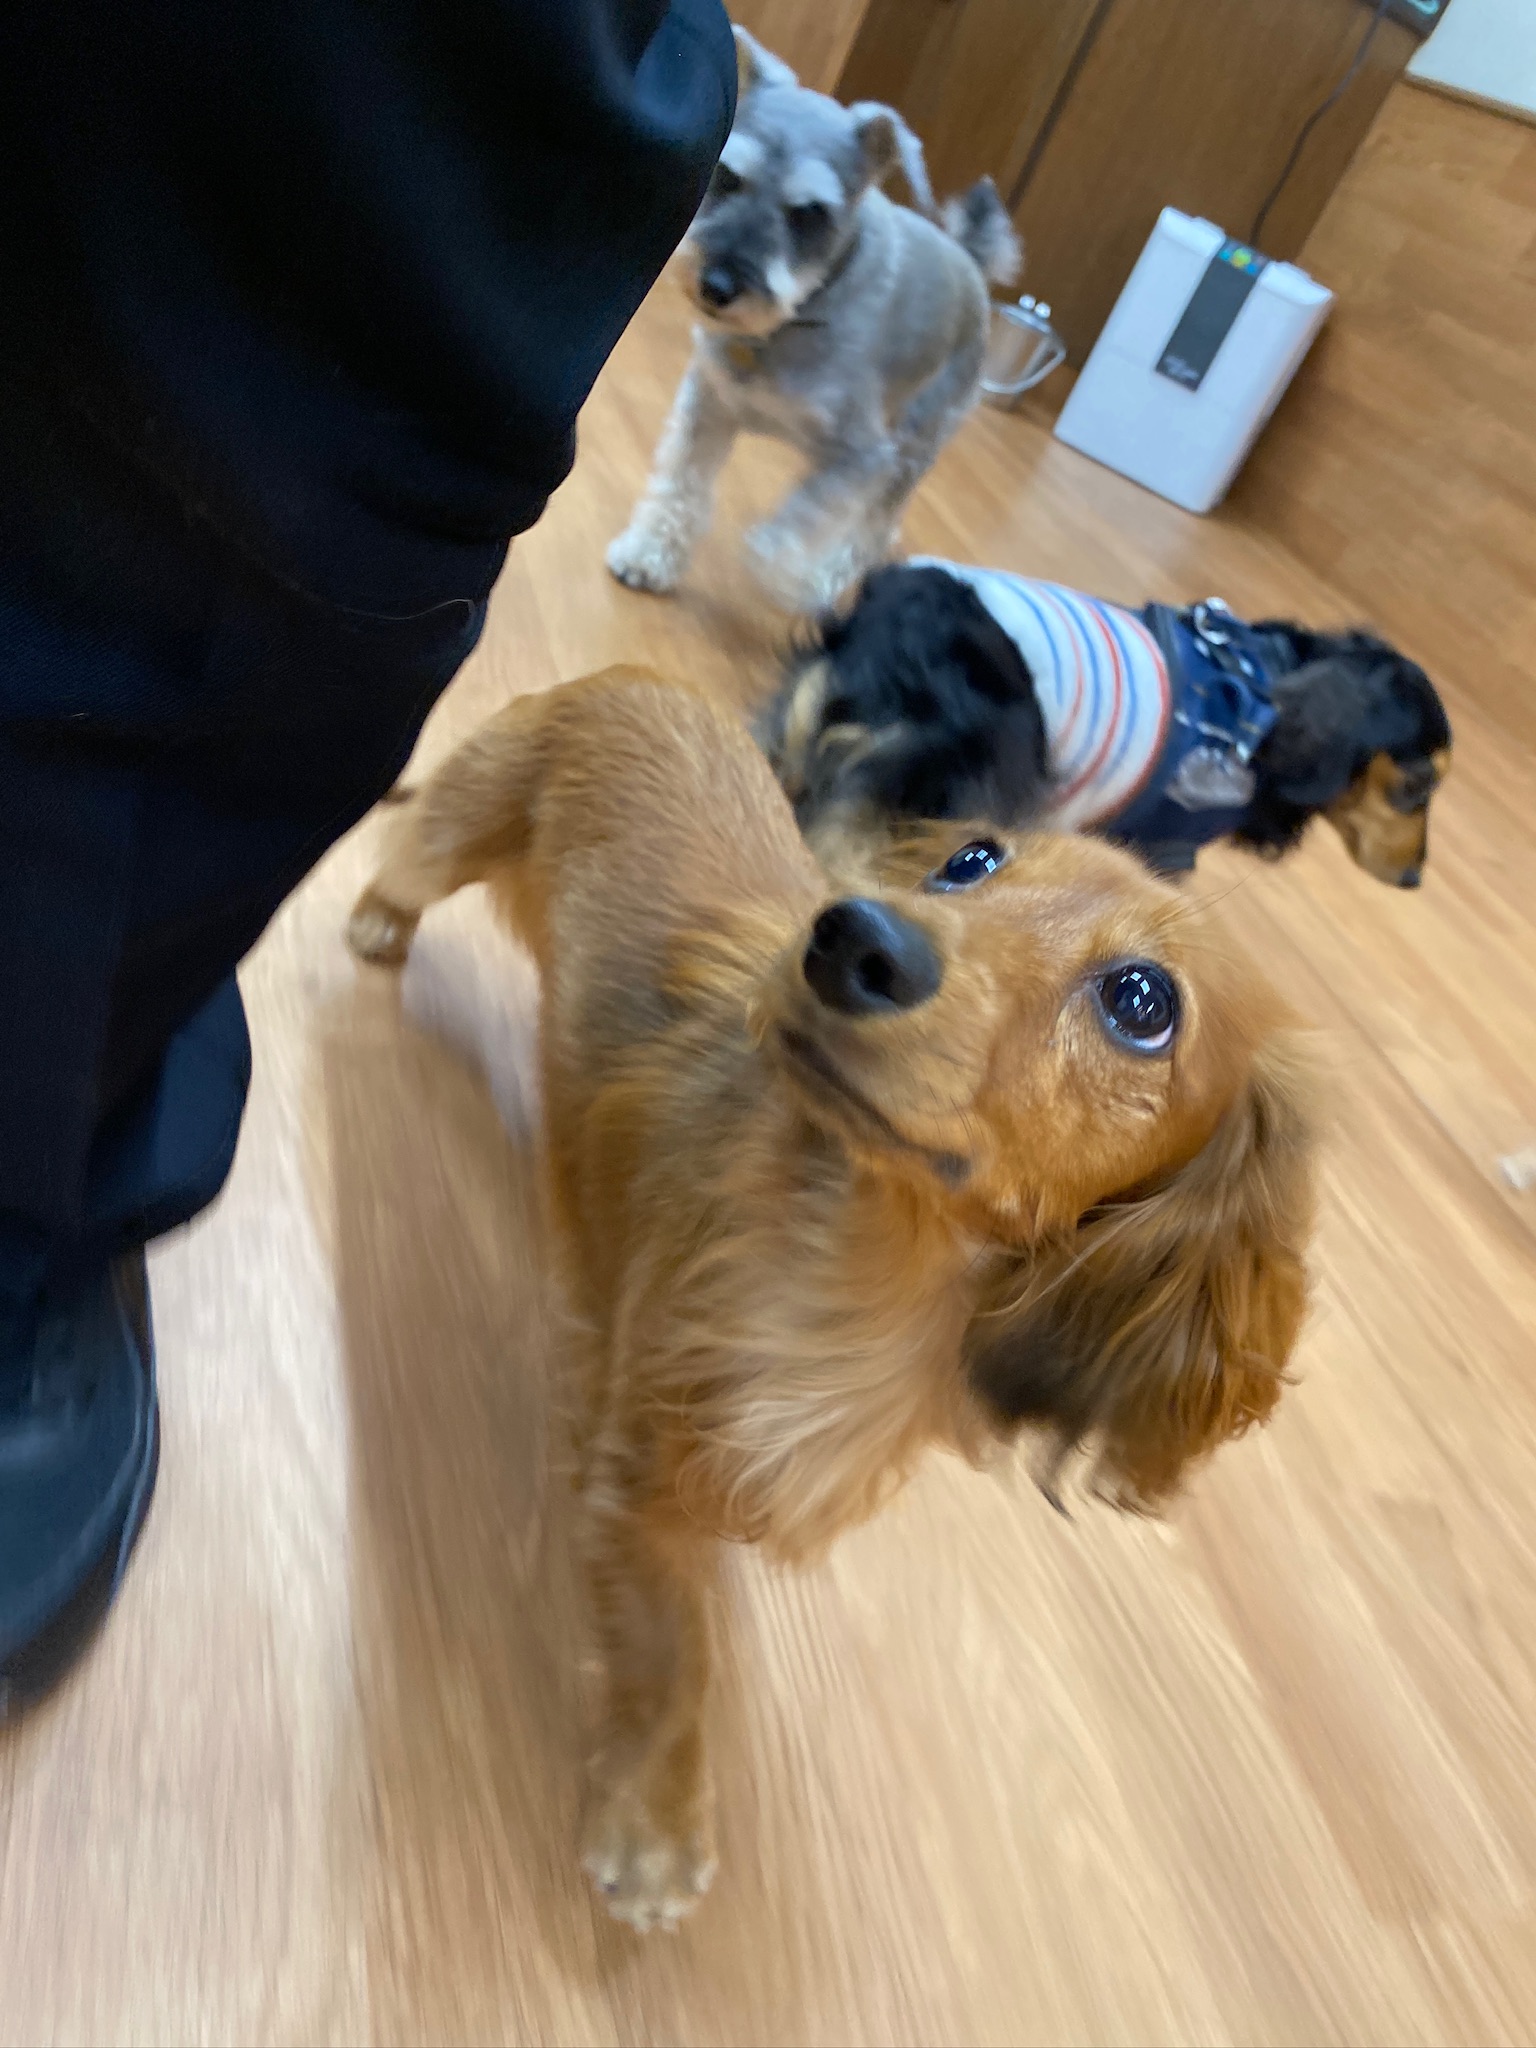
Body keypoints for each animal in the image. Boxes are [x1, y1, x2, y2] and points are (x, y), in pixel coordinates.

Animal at [347, 668, 1317, 1933]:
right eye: (970, 861)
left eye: (1143, 1000)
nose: (851, 935)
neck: (865, 1265)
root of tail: (640, 678)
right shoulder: (638, 1452)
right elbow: (672, 1648)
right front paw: (656, 1825)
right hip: (462, 822)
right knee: (408, 856)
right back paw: (378, 920)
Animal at [605, 30, 1020, 615]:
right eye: (727, 177)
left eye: (809, 213)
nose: (717, 286)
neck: (791, 321)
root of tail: (970, 263)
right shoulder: (708, 405)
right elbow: (680, 485)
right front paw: (648, 553)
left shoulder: (860, 459)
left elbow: (792, 531)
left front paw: (790, 579)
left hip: (912, 451)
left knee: (872, 529)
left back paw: (827, 577)